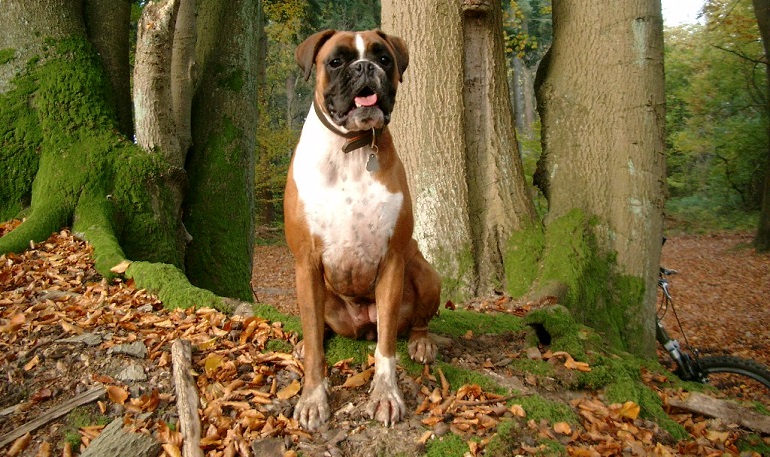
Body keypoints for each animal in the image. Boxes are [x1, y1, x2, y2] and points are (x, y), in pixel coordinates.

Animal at [282, 30, 438, 430]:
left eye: (384, 59)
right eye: (336, 61)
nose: (365, 67)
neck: (351, 149)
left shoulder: (393, 260)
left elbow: (386, 350)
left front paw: (385, 396)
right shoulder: (306, 263)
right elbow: (316, 351)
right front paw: (313, 397)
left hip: (425, 271)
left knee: (414, 322)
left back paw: (422, 340)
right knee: (318, 327)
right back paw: (308, 340)